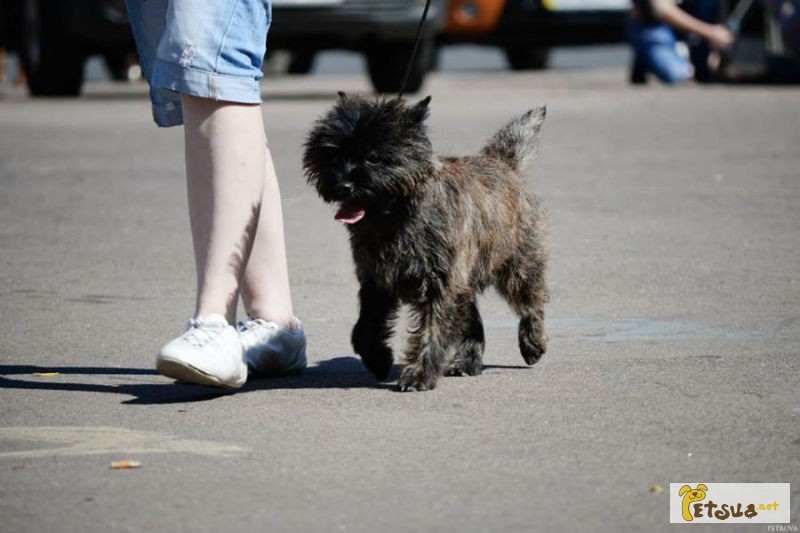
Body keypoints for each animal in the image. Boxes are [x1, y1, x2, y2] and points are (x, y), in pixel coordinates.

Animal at [304, 92, 548, 390]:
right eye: (335, 153)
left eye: (373, 157)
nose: (343, 185)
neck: (396, 216)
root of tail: (502, 163)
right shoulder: (375, 280)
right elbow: (366, 328)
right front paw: (378, 359)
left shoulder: (438, 283)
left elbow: (432, 329)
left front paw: (418, 374)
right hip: (465, 282)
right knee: (473, 320)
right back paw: (467, 362)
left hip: (516, 265)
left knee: (531, 302)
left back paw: (533, 344)